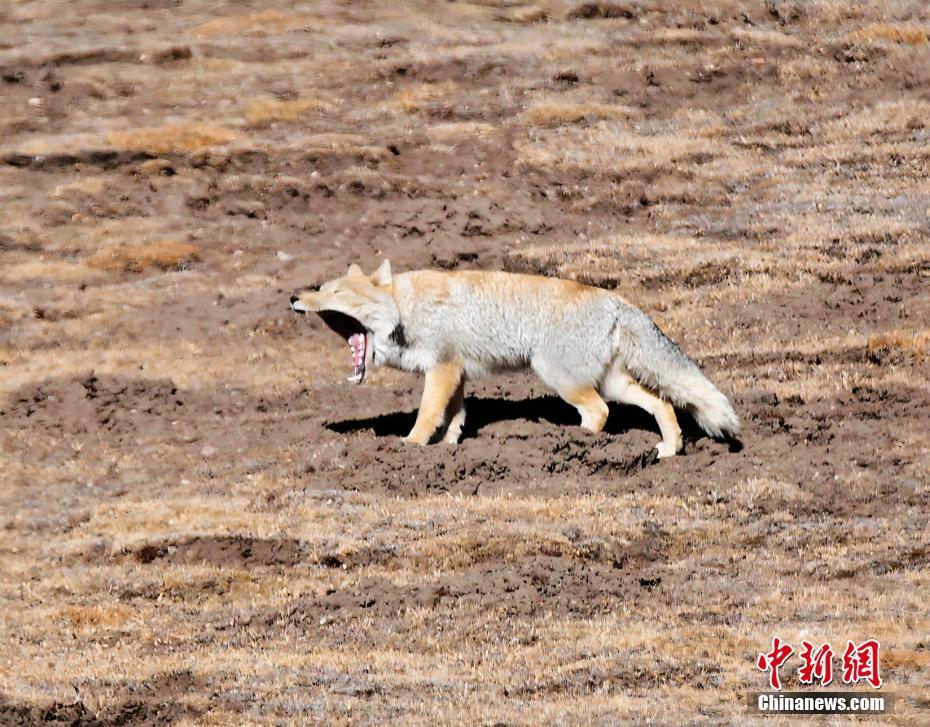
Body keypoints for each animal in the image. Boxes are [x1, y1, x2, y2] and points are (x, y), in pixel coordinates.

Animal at [290, 258, 740, 458]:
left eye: (333, 293)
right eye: (321, 289)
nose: (293, 296)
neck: (406, 308)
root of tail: (616, 300)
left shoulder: (441, 368)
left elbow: (427, 414)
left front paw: (412, 446)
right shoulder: (456, 373)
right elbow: (454, 416)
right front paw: (450, 447)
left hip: (560, 378)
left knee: (599, 413)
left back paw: (571, 443)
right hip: (611, 382)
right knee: (662, 403)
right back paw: (670, 447)